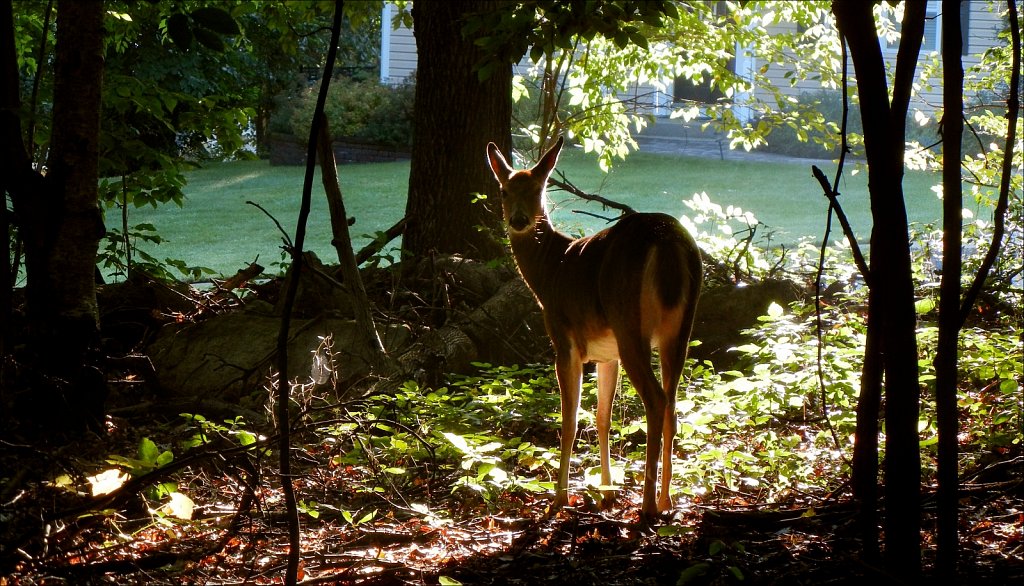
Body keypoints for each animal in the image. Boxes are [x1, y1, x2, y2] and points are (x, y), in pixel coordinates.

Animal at [489, 137, 704, 522]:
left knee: (656, 399)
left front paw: (559, 499)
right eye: (503, 190)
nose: (519, 220)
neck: (549, 271)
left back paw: (648, 505)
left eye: (538, 188)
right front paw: (607, 493)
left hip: (629, 322)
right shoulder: (607, 354)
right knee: (673, 404)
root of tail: (667, 242)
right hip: (679, 329)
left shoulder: (563, 340)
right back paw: (667, 500)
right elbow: (602, 417)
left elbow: (570, 420)